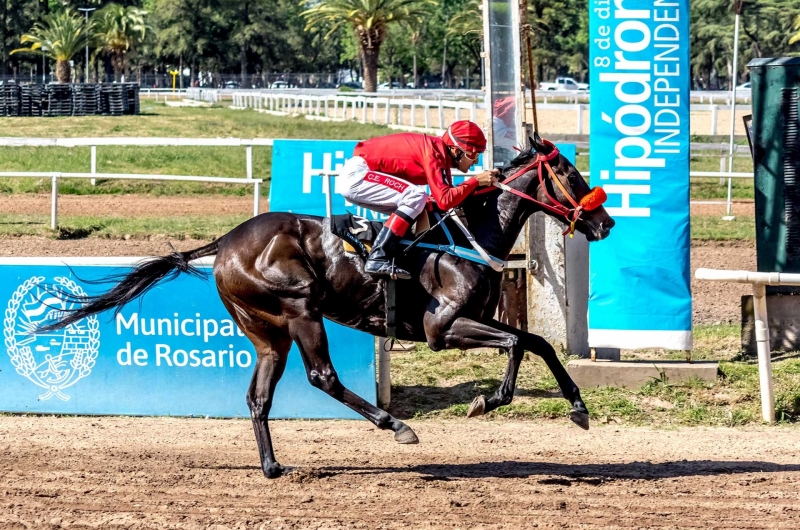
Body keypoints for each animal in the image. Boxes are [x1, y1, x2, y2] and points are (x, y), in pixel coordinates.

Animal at [40, 134, 616, 476]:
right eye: (570, 172)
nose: (605, 222)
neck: (469, 233)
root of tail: (225, 241)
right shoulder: (441, 327)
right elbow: (519, 343)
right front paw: (489, 400)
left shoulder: (476, 318)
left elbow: (536, 341)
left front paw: (577, 408)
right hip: (300, 310)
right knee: (322, 377)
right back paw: (395, 426)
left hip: (267, 332)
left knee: (259, 397)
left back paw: (272, 466)